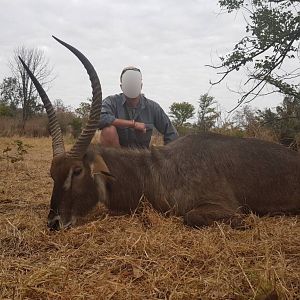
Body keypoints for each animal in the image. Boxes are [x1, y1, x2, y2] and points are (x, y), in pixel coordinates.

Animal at [21, 37, 300, 230]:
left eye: (77, 171)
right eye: (52, 174)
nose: (54, 222)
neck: (155, 171)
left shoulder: (222, 205)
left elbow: (192, 216)